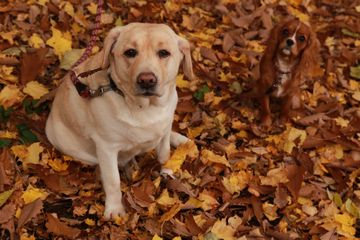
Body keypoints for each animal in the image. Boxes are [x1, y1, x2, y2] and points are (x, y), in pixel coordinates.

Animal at [45, 23, 194, 218]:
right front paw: (115, 209)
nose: (147, 80)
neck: (144, 108)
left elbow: (164, 154)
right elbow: (113, 180)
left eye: (164, 53)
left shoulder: (164, 127)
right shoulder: (107, 147)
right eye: (130, 52)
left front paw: (167, 170)